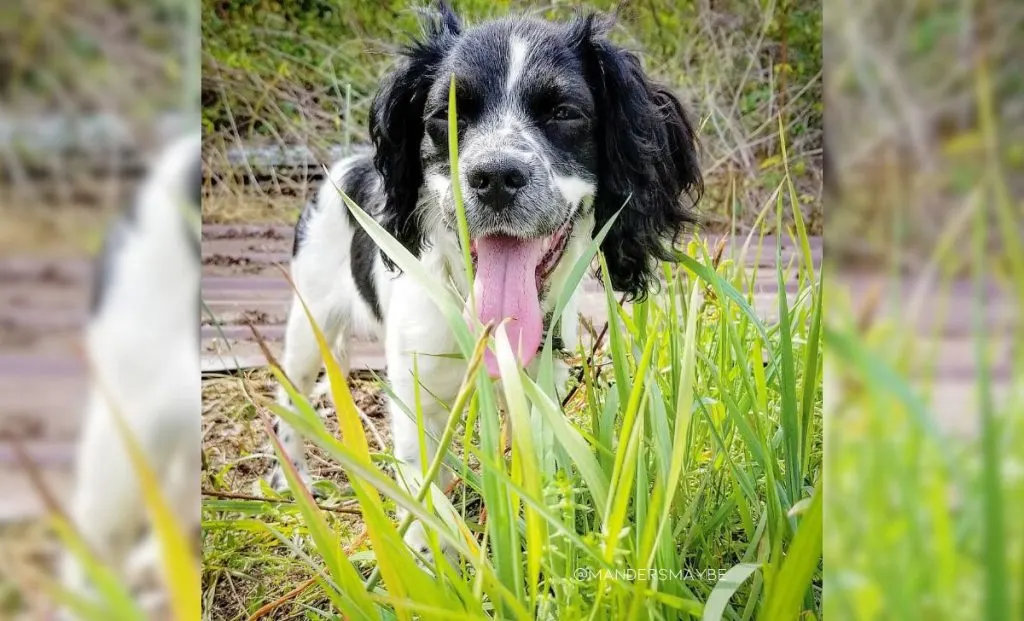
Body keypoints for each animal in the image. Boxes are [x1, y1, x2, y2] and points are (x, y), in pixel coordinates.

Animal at [272, 2, 700, 557]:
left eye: (564, 113)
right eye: (444, 115)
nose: (495, 177)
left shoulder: (540, 388)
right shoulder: (416, 398)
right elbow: (425, 507)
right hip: (309, 329)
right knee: (288, 398)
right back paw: (293, 478)